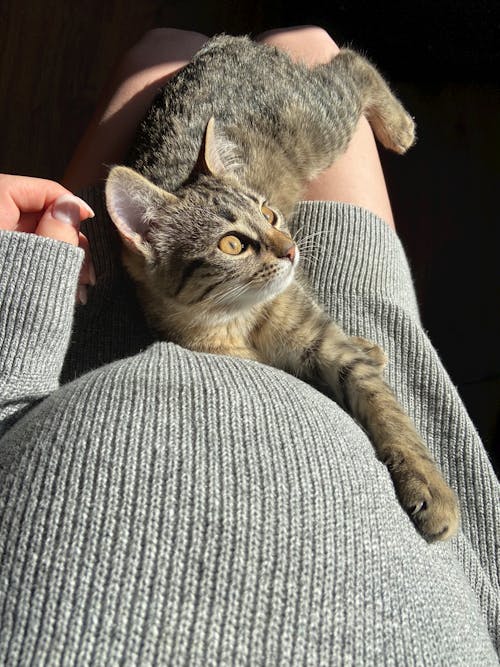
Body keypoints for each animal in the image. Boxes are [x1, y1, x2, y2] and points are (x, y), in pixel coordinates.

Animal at [105, 34, 460, 544]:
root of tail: (226, 42)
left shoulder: (324, 339)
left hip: (321, 125)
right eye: (232, 243)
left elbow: (390, 412)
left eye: (270, 214)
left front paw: (431, 487)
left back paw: (397, 125)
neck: (236, 320)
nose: (290, 249)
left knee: (352, 63)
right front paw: (370, 347)